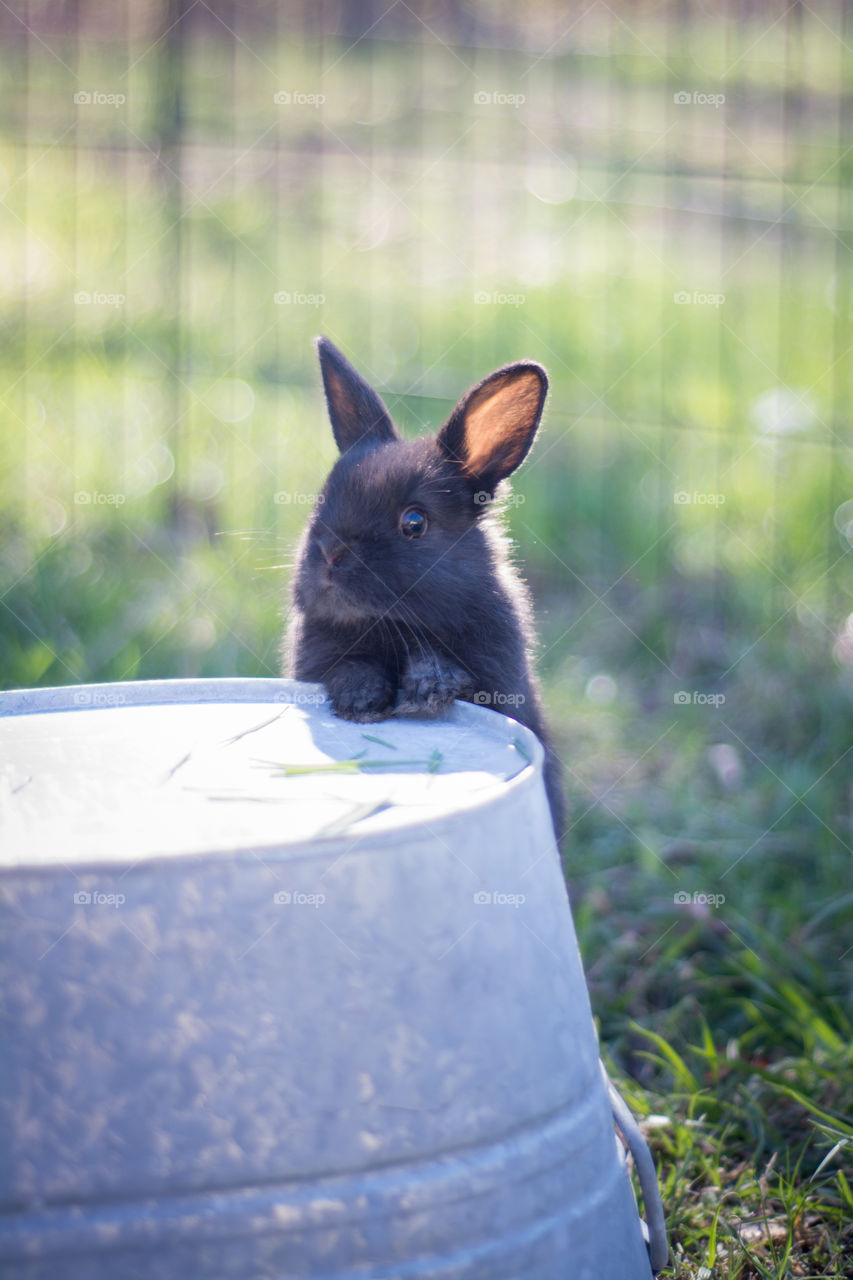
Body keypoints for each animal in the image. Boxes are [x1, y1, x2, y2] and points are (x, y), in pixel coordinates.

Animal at [281, 335, 563, 844]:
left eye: (414, 522)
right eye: (321, 500)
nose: (331, 553)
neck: (393, 626)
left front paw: (428, 685)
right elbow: (348, 666)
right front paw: (362, 700)